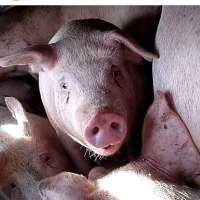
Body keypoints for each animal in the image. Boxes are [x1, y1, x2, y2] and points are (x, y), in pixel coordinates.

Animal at [0, 19, 158, 162]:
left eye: (115, 72)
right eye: (64, 86)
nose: (102, 117)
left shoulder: (134, 119)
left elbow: (131, 147)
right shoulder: (62, 134)